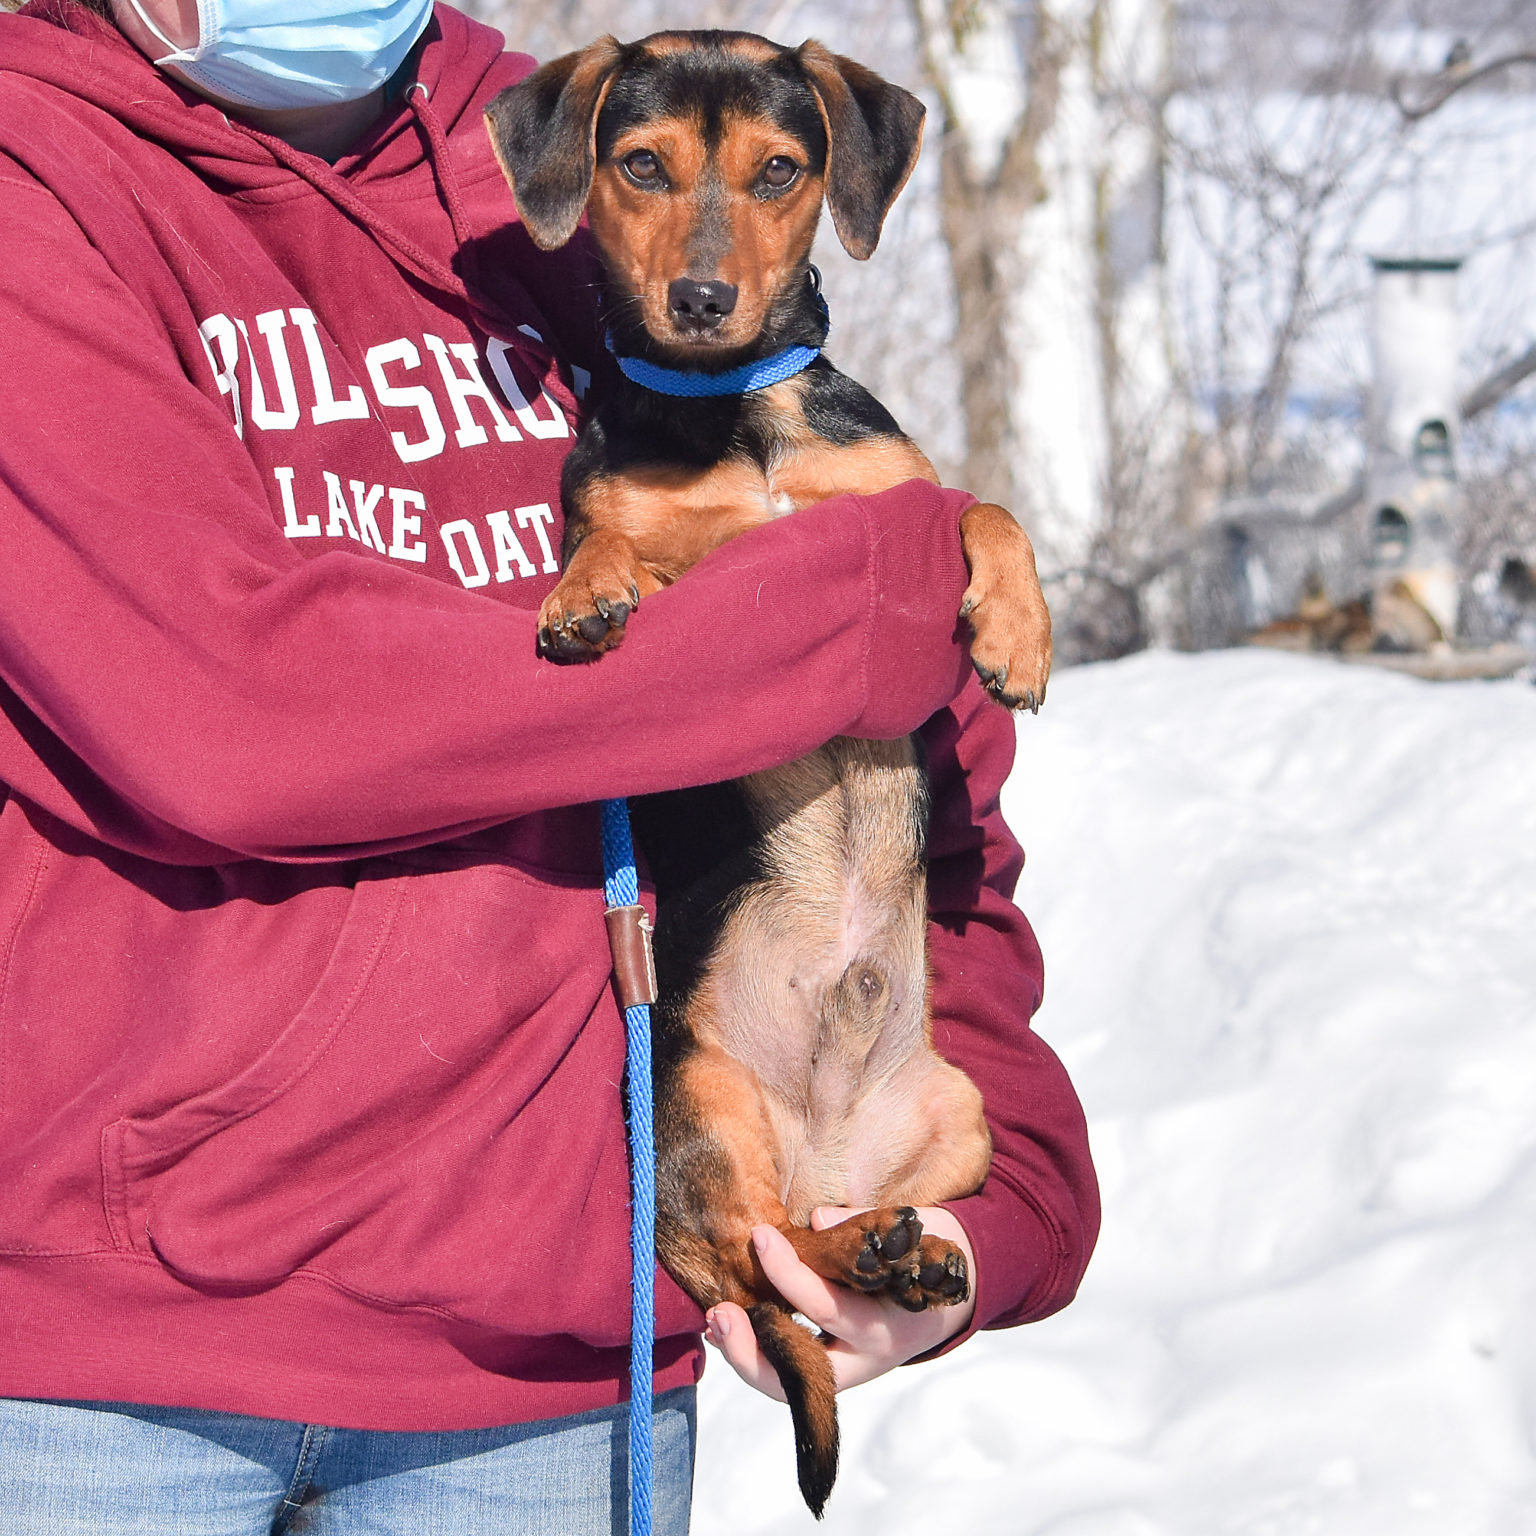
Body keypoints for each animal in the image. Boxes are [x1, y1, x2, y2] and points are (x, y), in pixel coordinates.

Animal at [485, 29, 1050, 1517]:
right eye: (640, 167)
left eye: (781, 171)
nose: (699, 297)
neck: (738, 407)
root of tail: (827, 1143)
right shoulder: (653, 528)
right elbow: (616, 535)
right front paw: (583, 595)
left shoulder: (893, 494)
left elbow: (979, 504)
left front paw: (1015, 633)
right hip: (696, 1098)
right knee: (765, 1254)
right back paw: (860, 1257)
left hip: (958, 1118)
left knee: (814, 1235)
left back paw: (900, 1254)